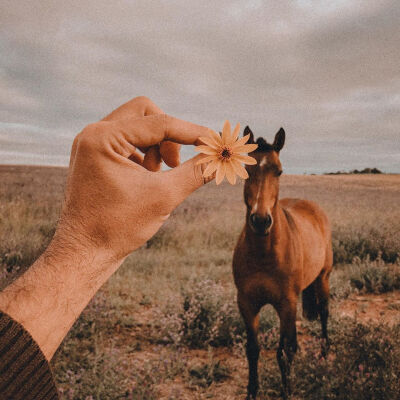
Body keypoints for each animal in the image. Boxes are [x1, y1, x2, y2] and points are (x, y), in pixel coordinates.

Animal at [233, 126, 332, 398]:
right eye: (247, 169)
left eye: (279, 171)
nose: (260, 221)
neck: (264, 255)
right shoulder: (247, 304)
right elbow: (253, 349)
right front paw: (252, 391)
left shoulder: (287, 303)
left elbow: (287, 351)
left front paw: (287, 390)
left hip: (323, 278)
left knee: (324, 313)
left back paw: (324, 353)